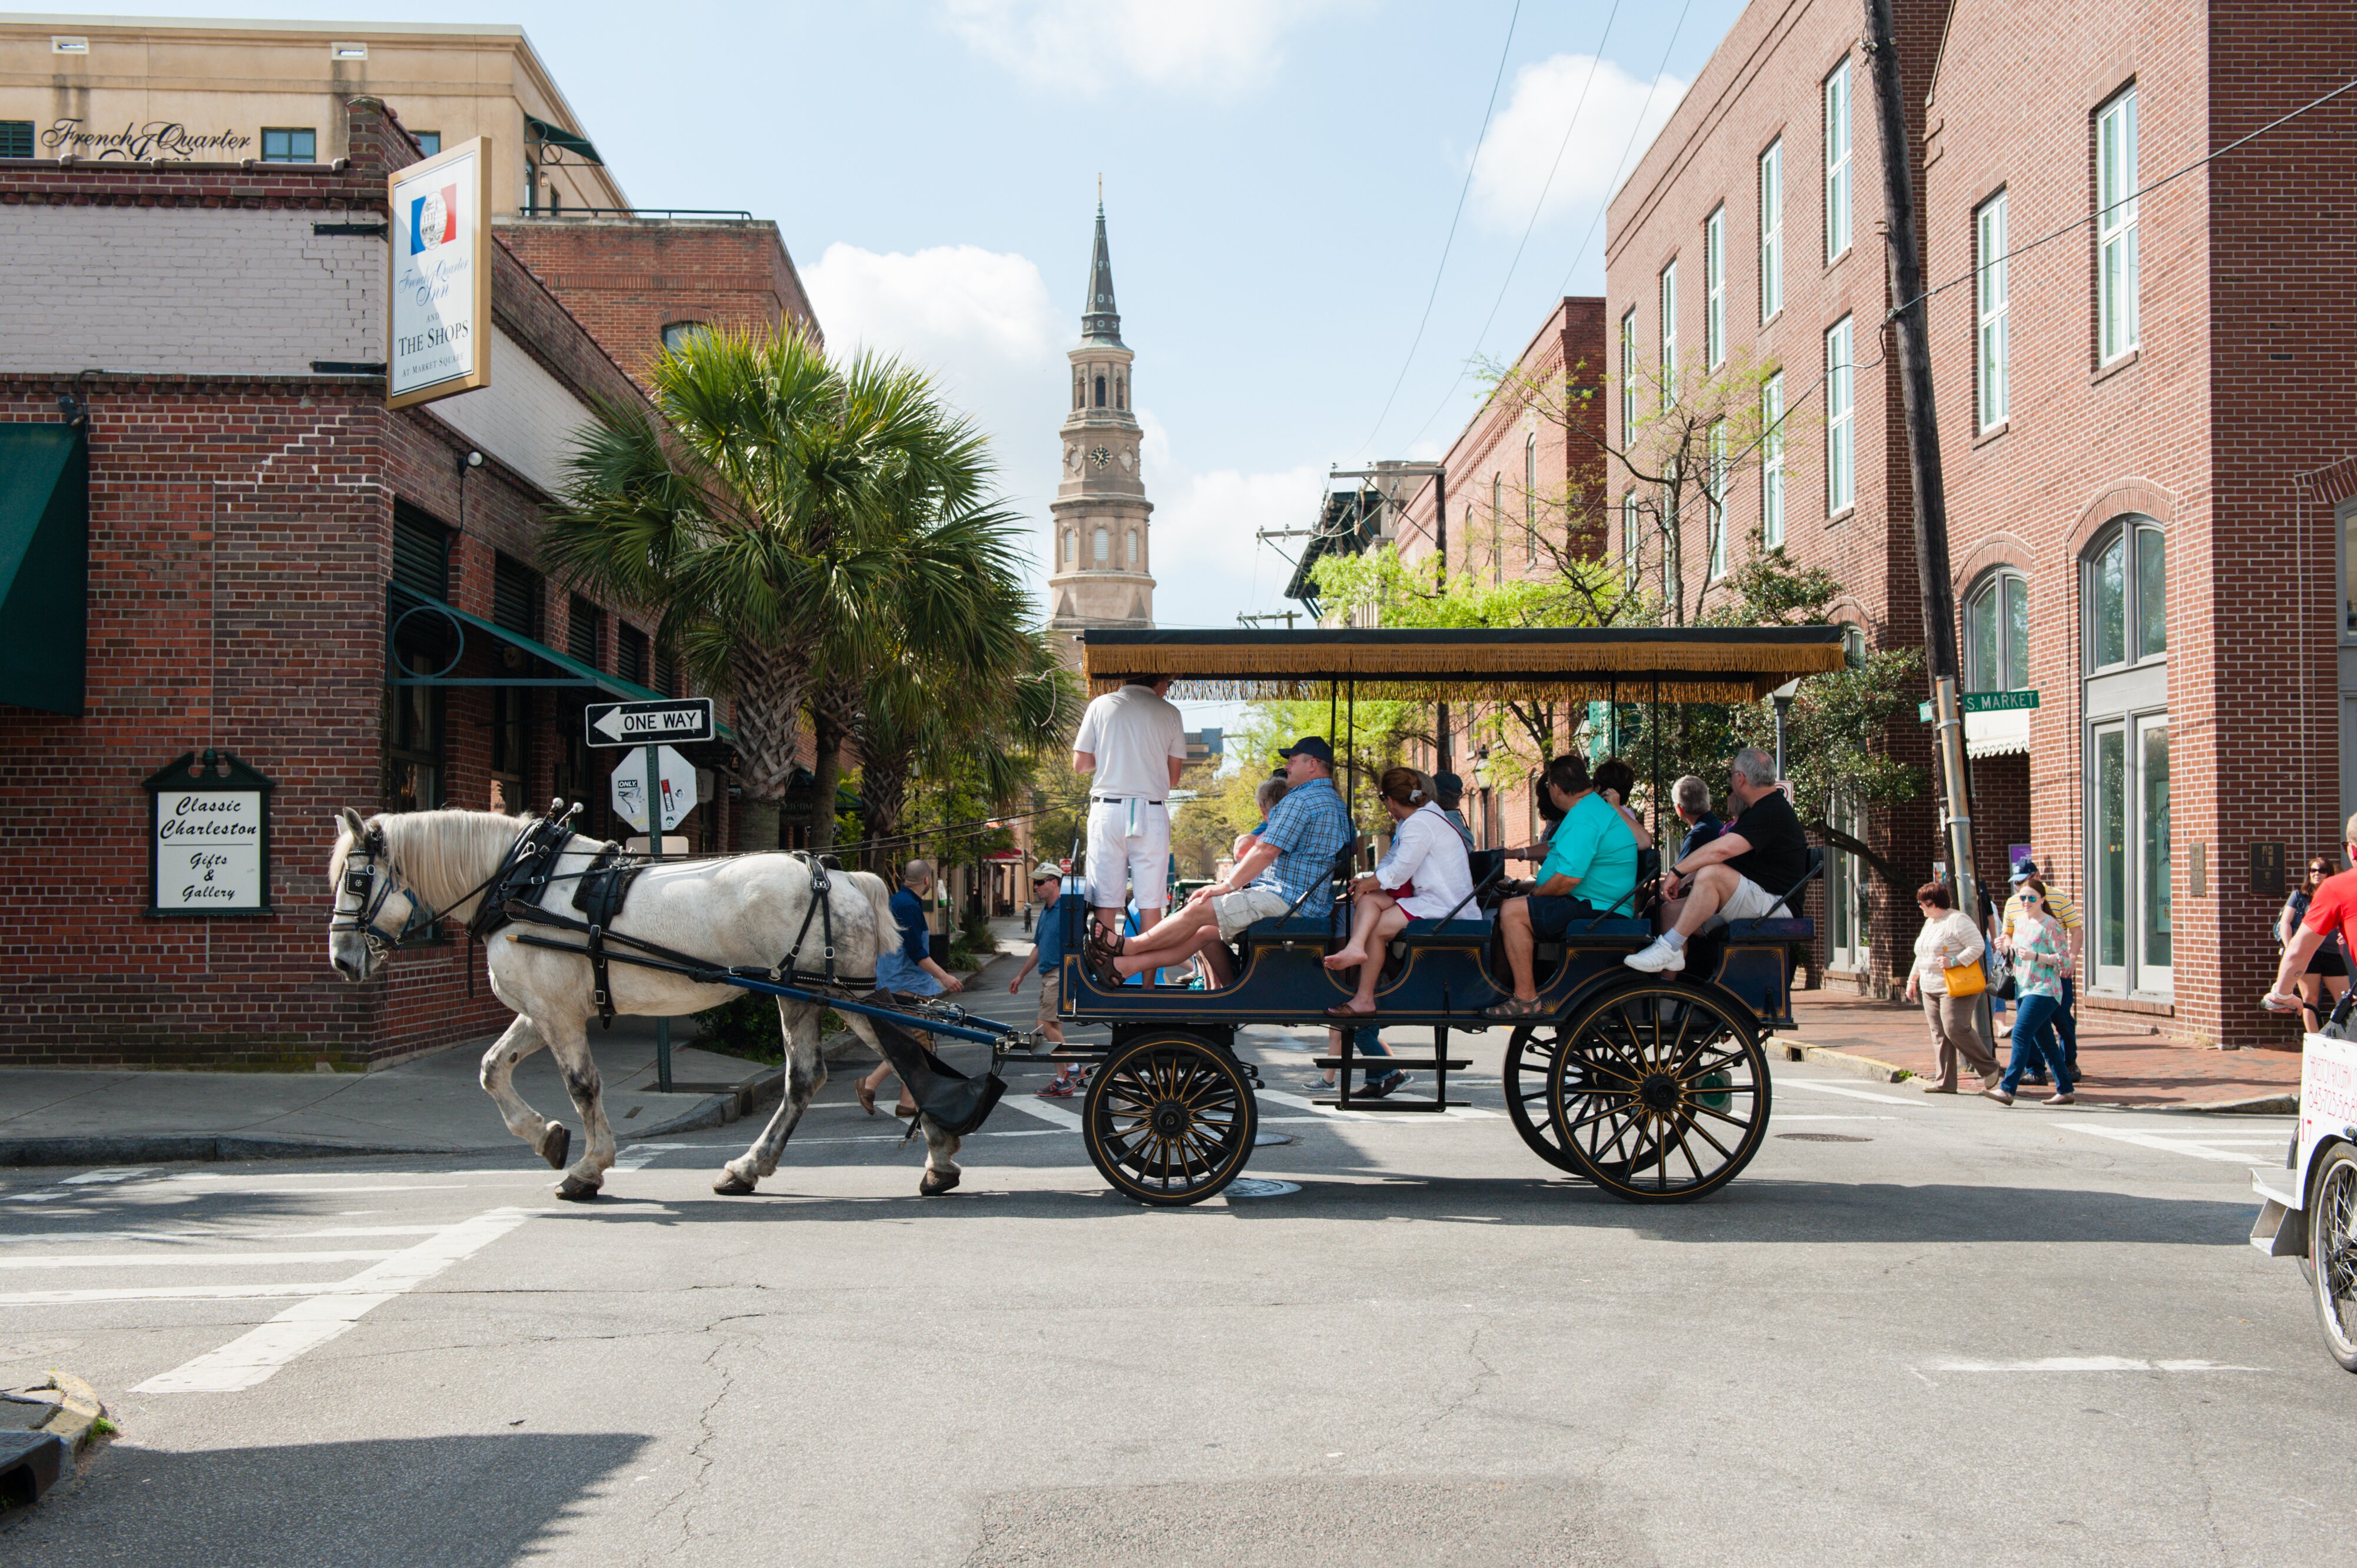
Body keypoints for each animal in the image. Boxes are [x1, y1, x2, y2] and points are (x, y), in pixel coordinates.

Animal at [325, 806, 966, 1198]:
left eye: (356, 880)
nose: (341, 959)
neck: (521, 882)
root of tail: (847, 877)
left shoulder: (557, 1013)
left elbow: (583, 1086)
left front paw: (587, 1167)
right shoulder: (543, 1008)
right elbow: (490, 1069)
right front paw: (548, 1138)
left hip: (838, 995)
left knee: (906, 1054)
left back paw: (939, 1156)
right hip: (804, 996)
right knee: (807, 1079)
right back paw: (748, 1167)